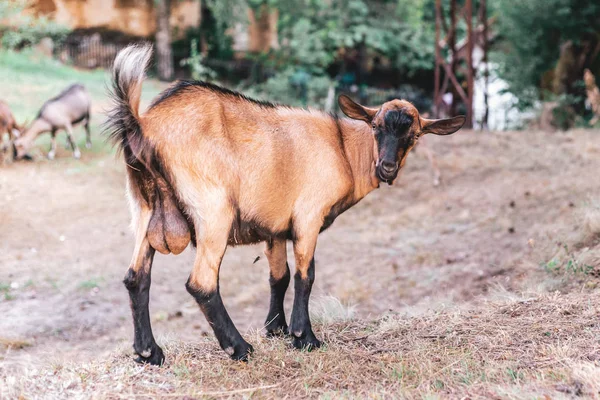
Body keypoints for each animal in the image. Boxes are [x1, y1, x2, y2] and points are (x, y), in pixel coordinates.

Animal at [106, 44, 464, 366]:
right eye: (375, 126)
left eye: (414, 136)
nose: (387, 167)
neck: (344, 151)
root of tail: (142, 124)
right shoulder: (308, 216)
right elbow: (306, 275)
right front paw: (304, 338)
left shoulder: (274, 227)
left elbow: (279, 276)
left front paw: (275, 328)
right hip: (213, 211)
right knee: (202, 283)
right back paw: (239, 349)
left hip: (144, 210)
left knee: (136, 277)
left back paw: (149, 354)